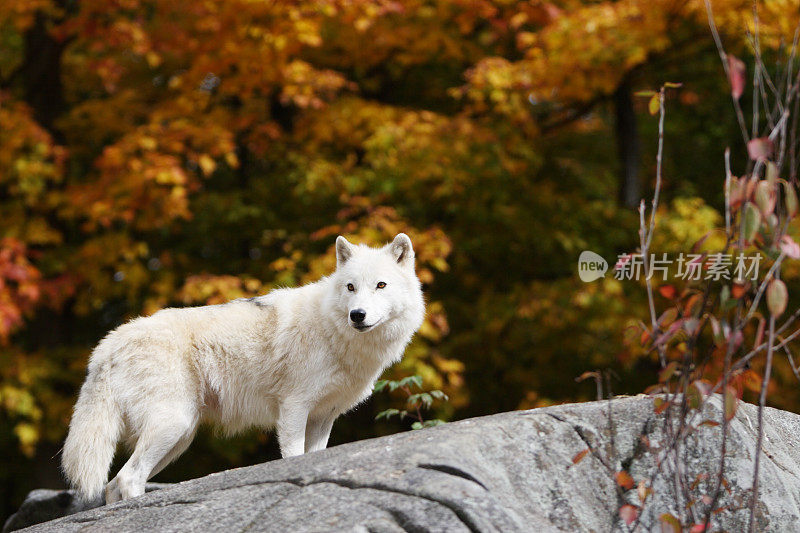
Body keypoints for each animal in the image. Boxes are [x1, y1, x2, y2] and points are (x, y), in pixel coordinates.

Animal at [62, 234, 424, 502]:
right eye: (350, 287)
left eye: (380, 285)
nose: (357, 315)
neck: (333, 330)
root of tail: (108, 343)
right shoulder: (293, 409)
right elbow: (293, 457)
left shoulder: (323, 417)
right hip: (172, 427)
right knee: (128, 479)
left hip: (180, 437)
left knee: (113, 484)